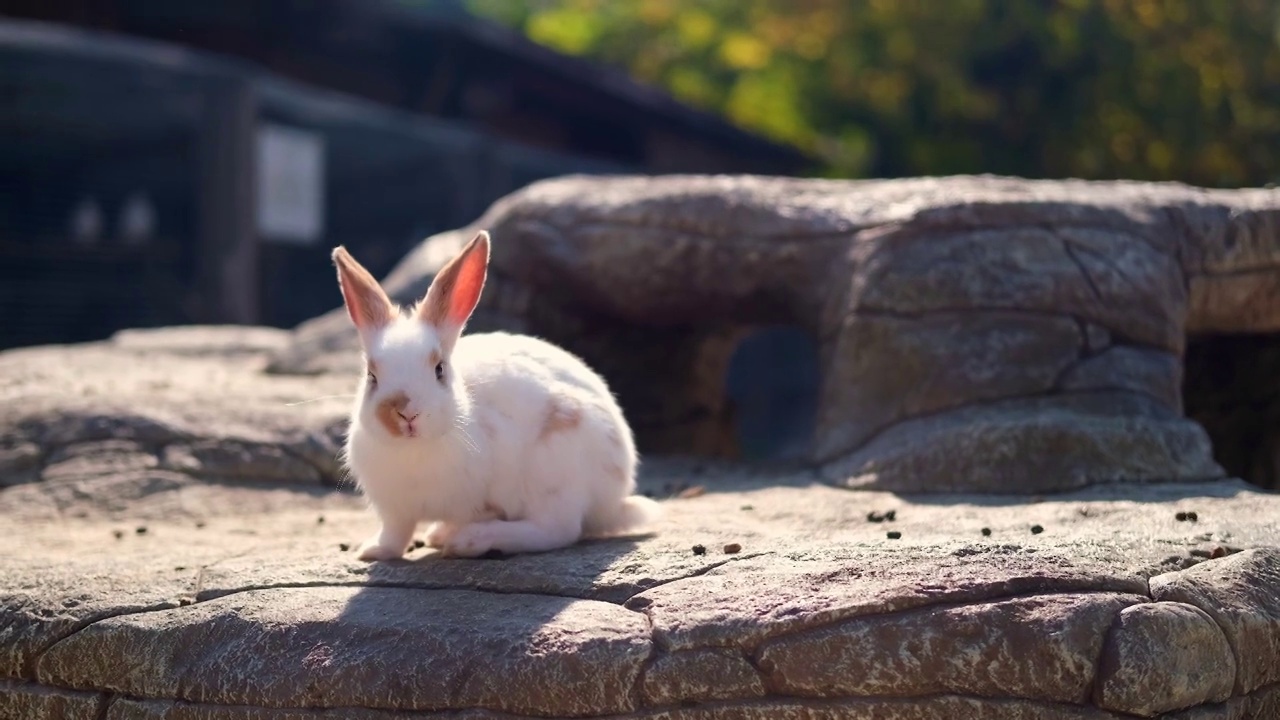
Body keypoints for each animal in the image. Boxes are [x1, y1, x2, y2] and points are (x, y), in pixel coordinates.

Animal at [332, 229, 660, 561]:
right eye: (372, 376)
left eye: (439, 369)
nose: (405, 414)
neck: (415, 450)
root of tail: (614, 501)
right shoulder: (395, 512)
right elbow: (395, 534)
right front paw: (372, 552)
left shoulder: (481, 500)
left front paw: (456, 536)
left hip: (554, 474)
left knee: (555, 530)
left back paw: (469, 541)